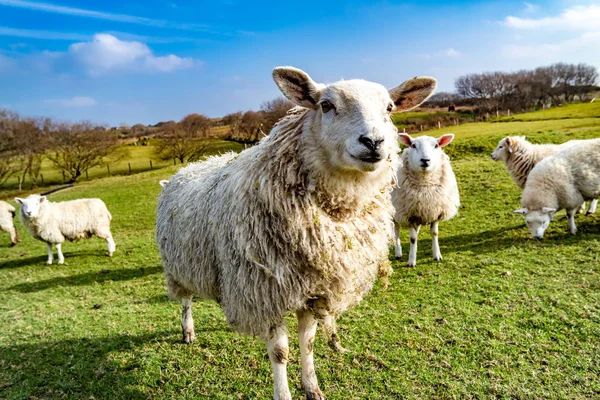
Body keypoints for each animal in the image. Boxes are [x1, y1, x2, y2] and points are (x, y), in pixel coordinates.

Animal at [155, 66, 436, 400]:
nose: (373, 141)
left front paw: (312, 387)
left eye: (390, 108)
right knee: (185, 301)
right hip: (179, 266)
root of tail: (190, 167)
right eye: (326, 105)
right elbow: (280, 352)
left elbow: (309, 342)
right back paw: (188, 331)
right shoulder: (266, 292)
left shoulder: (314, 290)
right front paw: (284, 393)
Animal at [394, 133, 460, 268]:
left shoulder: (435, 212)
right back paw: (398, 252)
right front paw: (411, 261)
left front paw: (437, 255)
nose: (425, 160)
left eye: (436, 145)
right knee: (396, 232)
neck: (425, 188)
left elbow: (434, 234)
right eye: (413, 145)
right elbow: (412, 239)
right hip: (394, 212)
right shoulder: (408, 215)